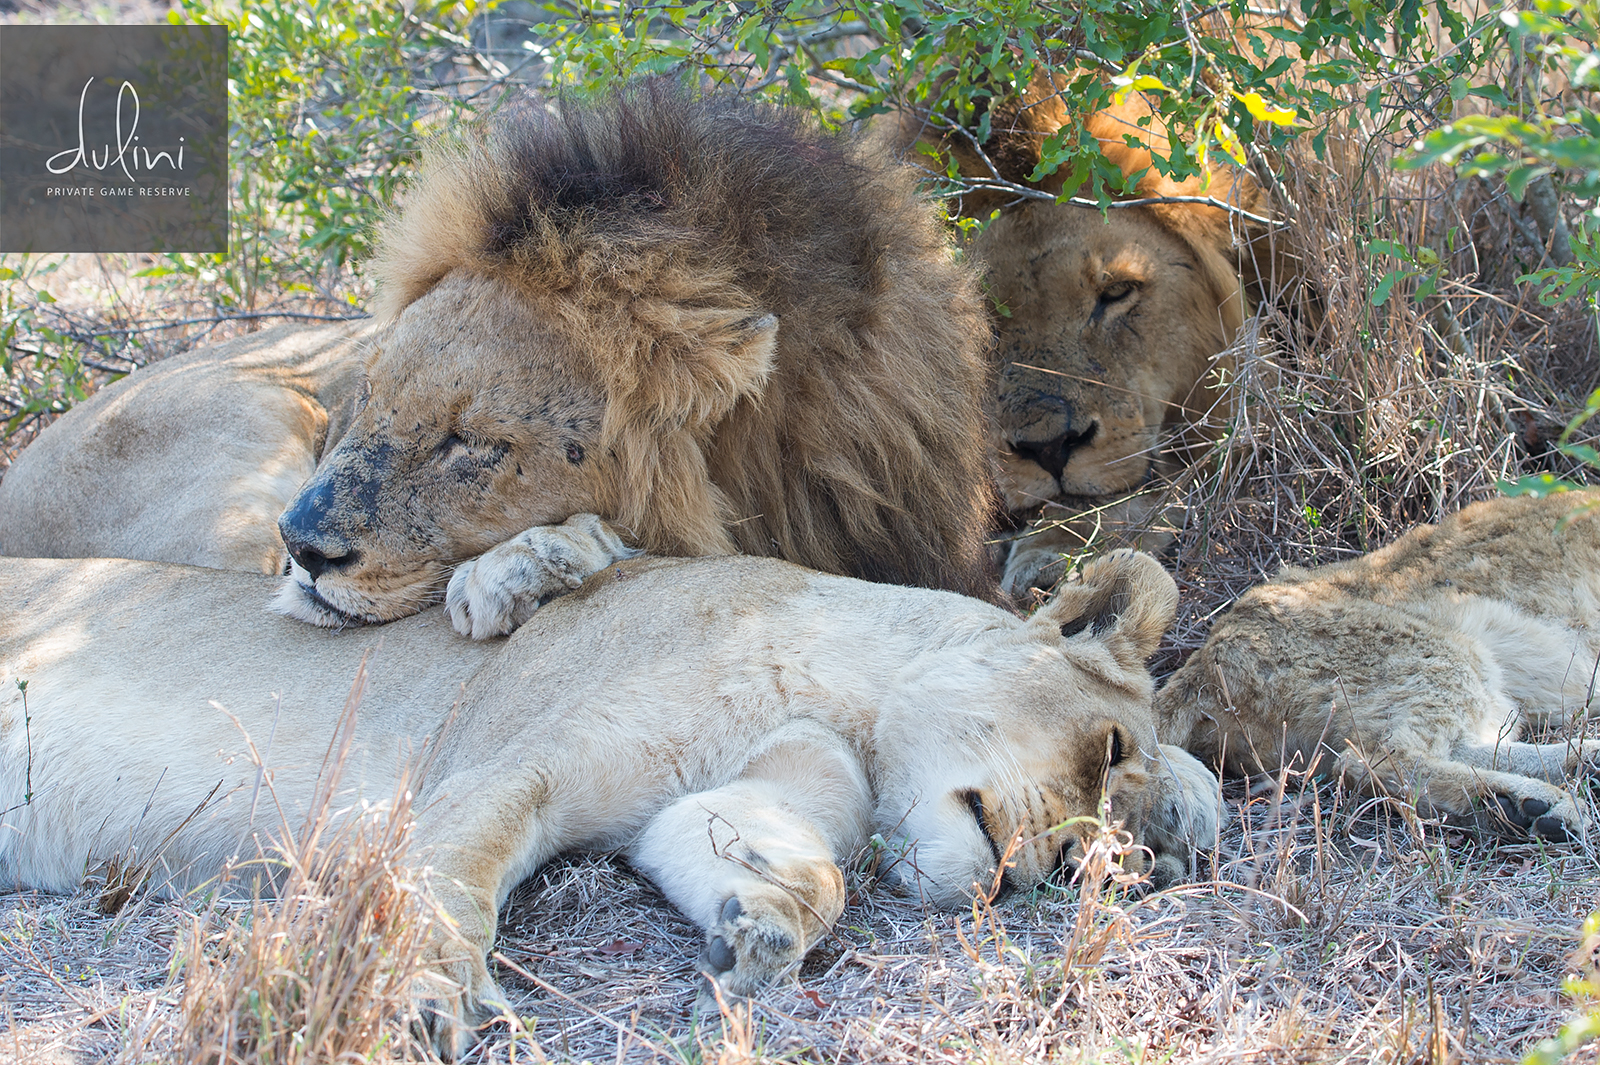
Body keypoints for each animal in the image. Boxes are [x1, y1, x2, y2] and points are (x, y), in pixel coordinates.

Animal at [6, 546, 1216, 1055]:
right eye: (1110, 748)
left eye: (1118, 849)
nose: (1056, 870)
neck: (846, 692)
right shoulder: (494, 765)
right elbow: (449, 890)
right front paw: (417, 1001)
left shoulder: (765, 777)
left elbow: (803, 867)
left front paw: (756, 930)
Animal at [1158, 492, 1600, 837]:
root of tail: (1203, 656)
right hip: (1446, 653)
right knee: (1373, 761)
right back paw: (1528, 806)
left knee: (1464, 747)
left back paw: (1569, 773)